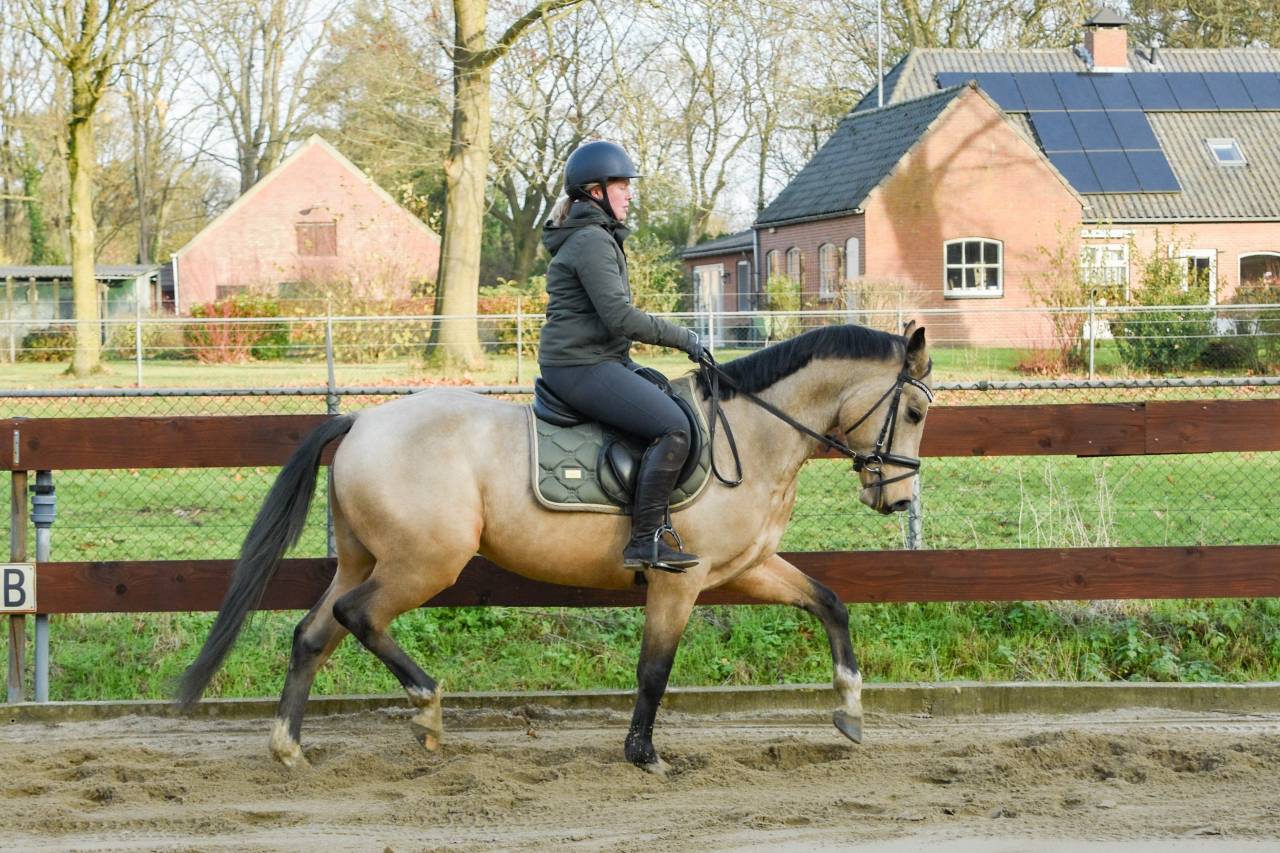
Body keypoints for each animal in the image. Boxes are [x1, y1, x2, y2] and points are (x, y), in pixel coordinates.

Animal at [177, 321, 933, 774]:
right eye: (917, 409)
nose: (897, 499)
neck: (750, 432)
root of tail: (362, 420)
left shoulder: (745, 569)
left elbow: (830, 603)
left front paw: (850, 709)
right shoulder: (679, 581)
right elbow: (654, 670)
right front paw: (643, 754)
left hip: (368, 558)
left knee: (312, 633)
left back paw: (289, 747)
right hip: (425, 562)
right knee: (357, 616)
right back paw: (426, 706)